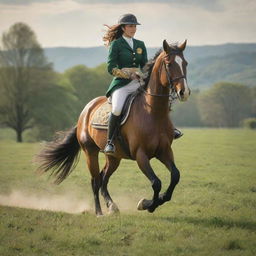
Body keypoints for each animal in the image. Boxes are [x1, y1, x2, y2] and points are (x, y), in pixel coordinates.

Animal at [37, 40, 191, 216]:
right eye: (169, 64)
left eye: (185, 63)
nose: (184, 92)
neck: (154, 112)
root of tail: (85, 111)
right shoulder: (141, 155)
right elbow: (156, 182)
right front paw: (147, 204)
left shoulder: (164, 151)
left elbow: (175, 176)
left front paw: (154, 201)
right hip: (90, 152)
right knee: (95, 180)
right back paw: (99, 212)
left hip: (114, 157)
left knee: (104, 178)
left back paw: (111, 205)